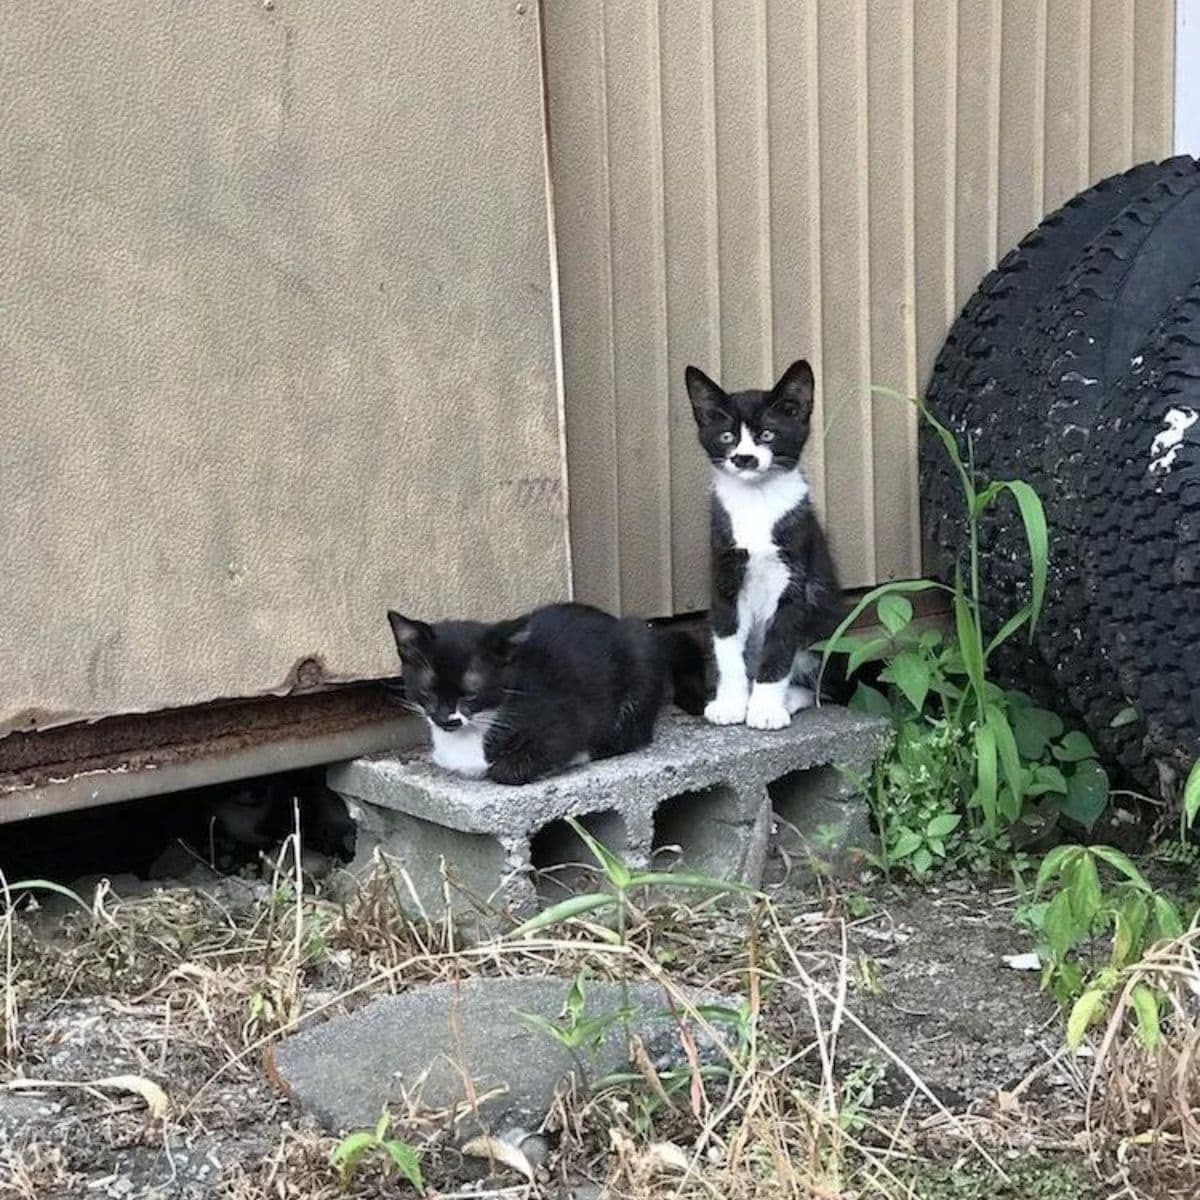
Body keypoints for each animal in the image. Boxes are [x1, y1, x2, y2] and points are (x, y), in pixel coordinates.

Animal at [386, 600, 700, 787]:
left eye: (471, 694)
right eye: (427, 692)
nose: (445, 719)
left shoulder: (563, 719)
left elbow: (509, 769)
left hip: (639, 657)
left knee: (631, 733)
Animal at [686, 357, 844, 729]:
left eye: (768, 434)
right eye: (727, 436)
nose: (744, 458)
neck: (756, 500)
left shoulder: (794, 579)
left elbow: (779, 646)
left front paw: (765, 709)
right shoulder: (725, 572)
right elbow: (727, 644)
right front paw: (731, 704)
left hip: (826, 624)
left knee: (822, 685)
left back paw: (790, 698)